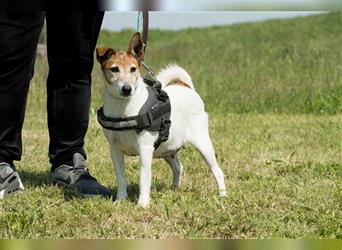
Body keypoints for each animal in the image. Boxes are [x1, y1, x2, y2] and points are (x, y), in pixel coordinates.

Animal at [96, 31, 226, 207]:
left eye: (133, 69)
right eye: (114, 69)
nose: (127, 89)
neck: (123, 109)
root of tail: (186, 86)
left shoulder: (145, 149)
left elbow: (144, 179)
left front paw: (143, 204)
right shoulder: (115, 150)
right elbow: (121, 178)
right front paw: (120, 200)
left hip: (203, 144)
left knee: (217, 171)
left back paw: (223, 195)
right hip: (167, 148)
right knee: (178, 167)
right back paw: (175, 189)